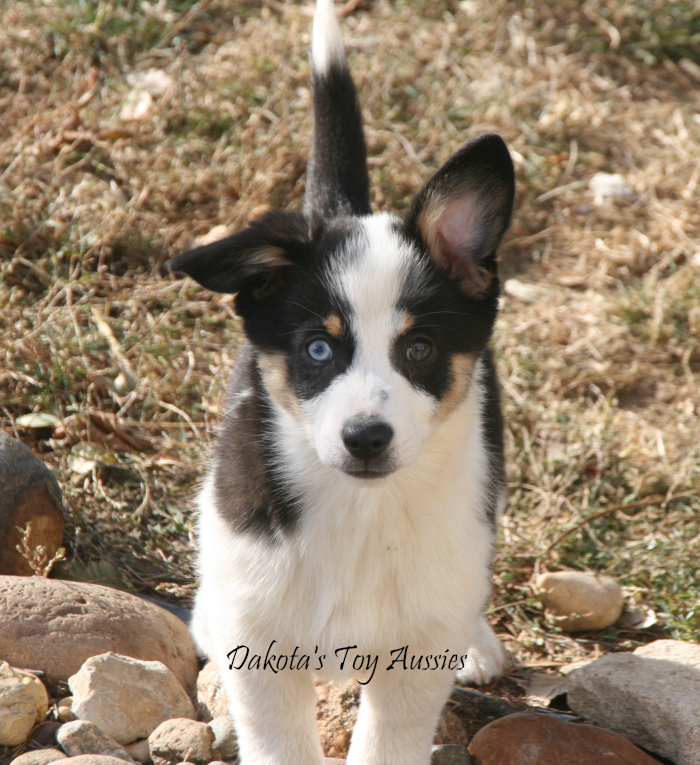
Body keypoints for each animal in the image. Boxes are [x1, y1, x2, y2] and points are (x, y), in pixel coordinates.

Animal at [171, 1, 516, 764]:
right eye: (319, 348)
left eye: (418, 348)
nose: (366, 438)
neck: (362, 512)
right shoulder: (260, 640)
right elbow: (279, 742)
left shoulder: (413, 663)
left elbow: (389, 739)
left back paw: (476, 641)